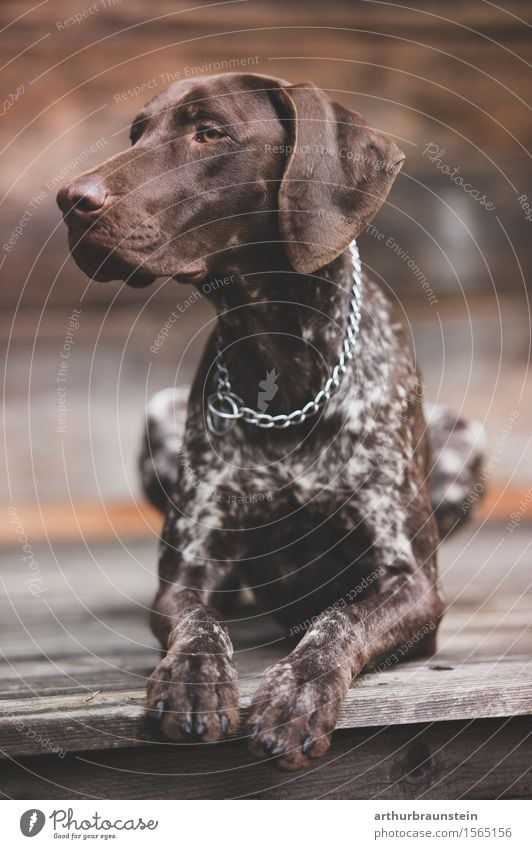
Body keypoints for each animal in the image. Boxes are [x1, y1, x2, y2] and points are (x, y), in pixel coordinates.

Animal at [57, 76, 482, 772]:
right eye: (137, 134)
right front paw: (195, 679)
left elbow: (337, 623)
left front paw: (297, 694)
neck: (285, 371)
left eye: (209, 132)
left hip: (465, 440)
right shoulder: (187, 571)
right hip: (160, 415)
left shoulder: (412, 582)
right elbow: (198, 624)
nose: (70, 200)